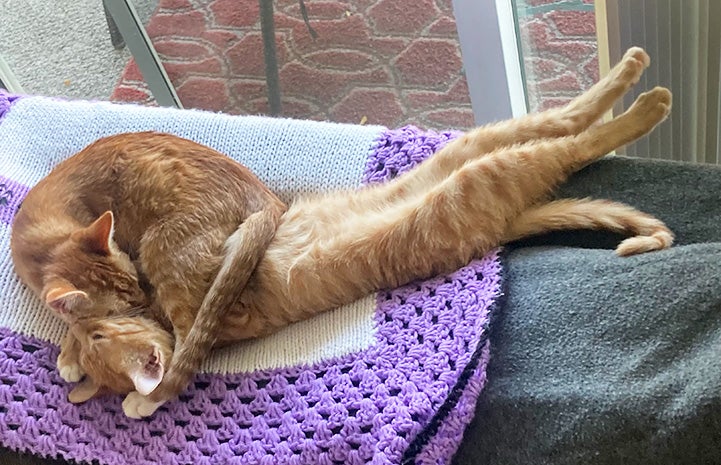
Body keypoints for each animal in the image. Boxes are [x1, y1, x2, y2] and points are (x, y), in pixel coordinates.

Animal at [49, 47, 668, 416]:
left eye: (100, 333)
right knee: (569, 137)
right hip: (478, 175)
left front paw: (137, 391)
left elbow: (183, 342)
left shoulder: (196, 285)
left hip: (478, 156)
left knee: (568, 128)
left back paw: (643, 87)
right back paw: (646, 92)